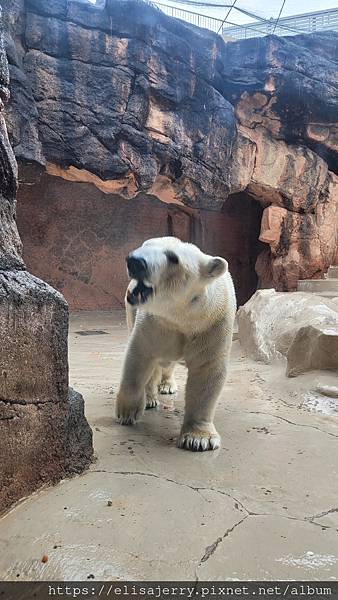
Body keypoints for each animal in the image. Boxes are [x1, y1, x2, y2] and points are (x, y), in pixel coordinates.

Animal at [115, 237, 236, 452]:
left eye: (173, 258)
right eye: (145, 245)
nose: (135, 261)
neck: (182, 317)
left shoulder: (212, 325)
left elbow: (207, 371)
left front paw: (199, 439)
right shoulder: (156, 323)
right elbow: (139, 356)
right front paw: (127, 413)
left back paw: (167, 385)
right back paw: (151, 398)